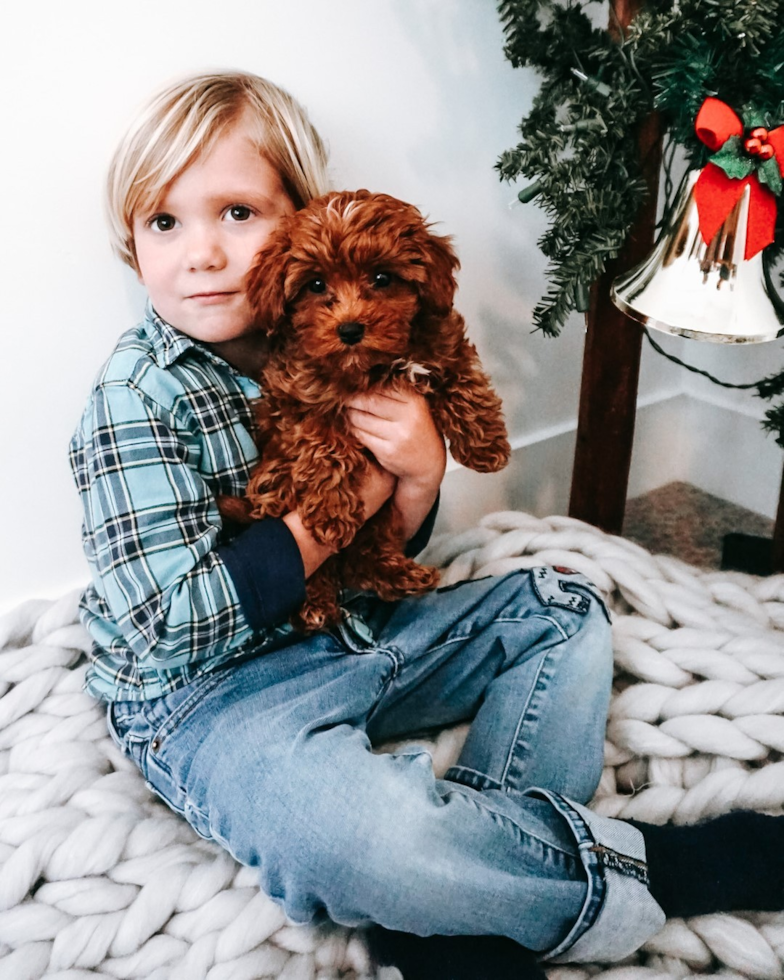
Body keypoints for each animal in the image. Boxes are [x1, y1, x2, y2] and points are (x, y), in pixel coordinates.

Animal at [220, 189, 512, 636]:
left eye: (382, 278)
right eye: (316, 284)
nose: (350, 329)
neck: (371, 368)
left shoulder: (442, 342)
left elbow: (464, 380)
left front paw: (486, 444)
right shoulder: (298, 397)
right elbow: (322, 443)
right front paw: (331, 511)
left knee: (363, 554)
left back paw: (401, 575)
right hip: (277, 494)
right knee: (310, 556)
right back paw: (316, 604)